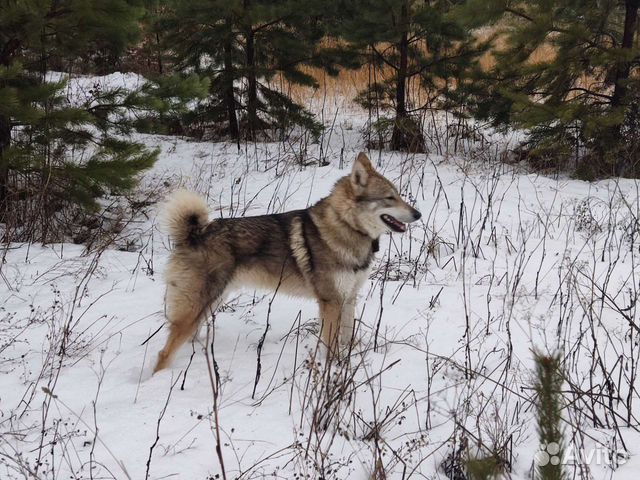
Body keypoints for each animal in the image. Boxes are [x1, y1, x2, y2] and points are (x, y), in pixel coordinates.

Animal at [153, 152, 422, 374]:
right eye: (389, 198)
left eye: (398, 195)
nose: (418, 214)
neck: (346, 226)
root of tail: (194, 234)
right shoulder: (331, 302)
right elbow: (331, 346)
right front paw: (332, 372)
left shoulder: (348, 298)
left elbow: (347, 338)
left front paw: (347, 364)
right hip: (197, 307)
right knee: (163, 353)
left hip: (210, 304)